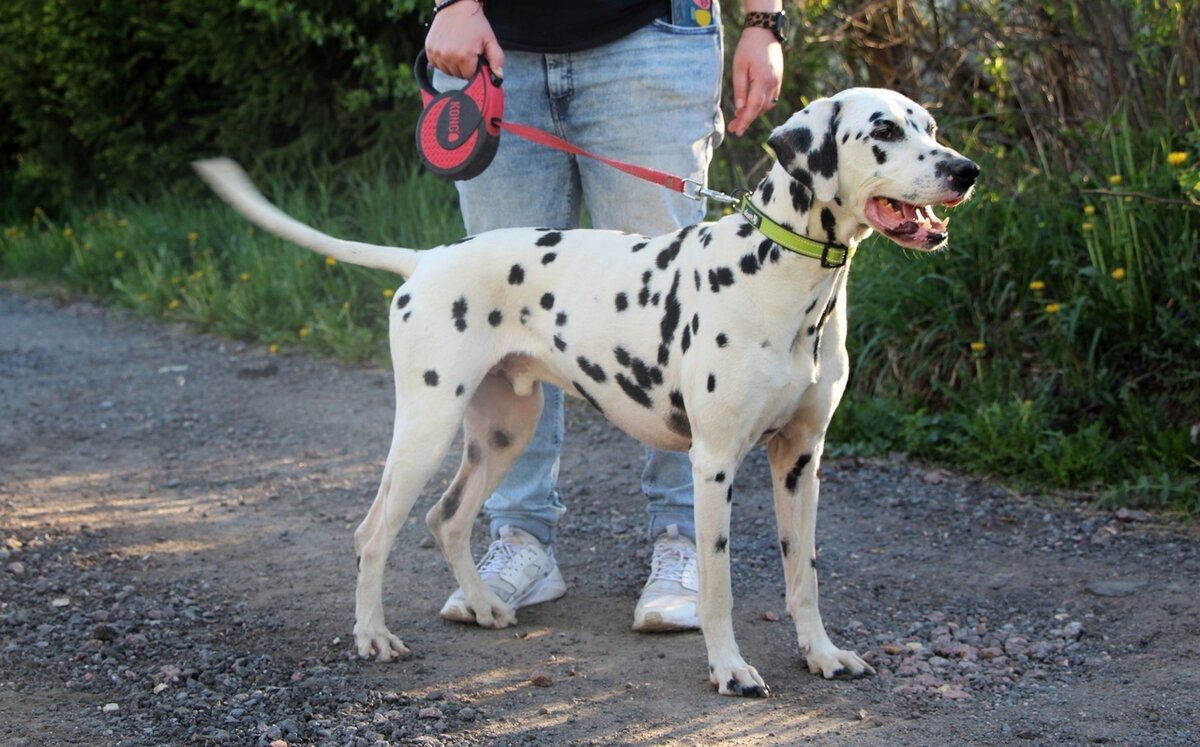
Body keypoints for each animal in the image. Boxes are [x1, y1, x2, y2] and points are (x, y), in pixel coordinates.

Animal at [196, 89, 979, 701]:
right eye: (882, 130)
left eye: (930, 126)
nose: (965, 170)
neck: (787, 277)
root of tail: (428, 258)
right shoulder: (714, 463)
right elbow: (719, 587)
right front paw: (729, 669)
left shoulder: (800, 461)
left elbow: (804, 575)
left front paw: (822, 654)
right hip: (426, 424)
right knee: (374, 532)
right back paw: (373, 635)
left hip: (504, 431)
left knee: (447, 519)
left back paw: (485, 605)